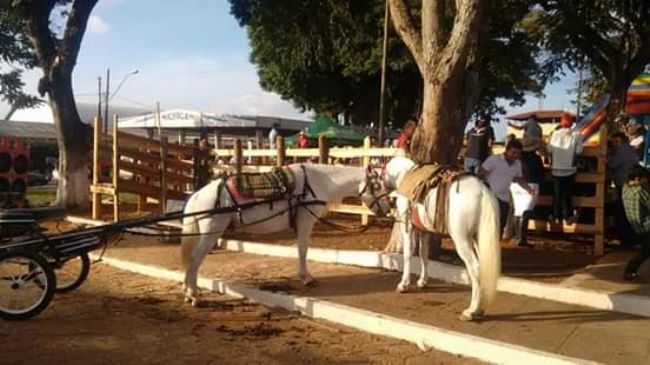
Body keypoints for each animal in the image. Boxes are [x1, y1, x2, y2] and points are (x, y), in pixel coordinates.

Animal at [178, 164, 390, 306]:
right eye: (377, 186)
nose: (387, 210)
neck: (316, 182)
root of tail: (198, 195)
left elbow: (300, 249)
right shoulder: (305, 221)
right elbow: (303, 249)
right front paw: (306, 278)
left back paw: (188, 291)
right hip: (211, 233)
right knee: (195, 259)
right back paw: (193, 294)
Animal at [378, 155, 498, 320]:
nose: (382, 206)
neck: (406, 175)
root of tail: (482, 192)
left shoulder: (408, 227)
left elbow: (408, 254)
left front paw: (404, 284)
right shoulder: (424, 231)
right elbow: (424, 254)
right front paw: (423, 281)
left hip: (462, 240)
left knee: (475, 268)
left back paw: (472, 310)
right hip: (478, 239)